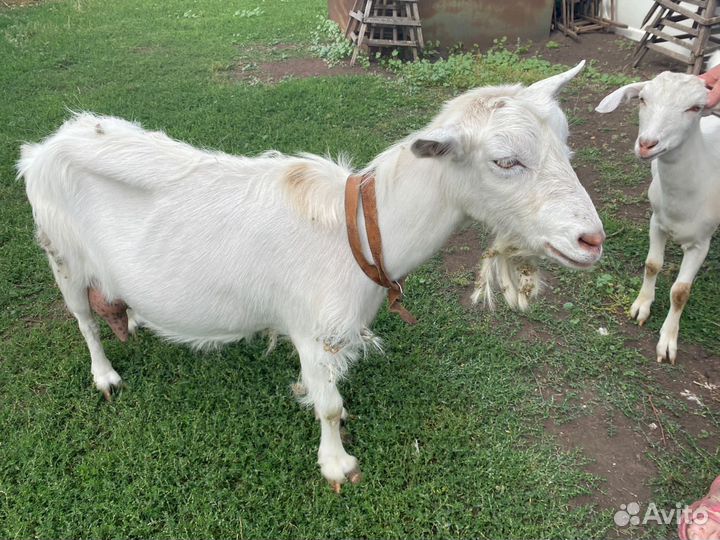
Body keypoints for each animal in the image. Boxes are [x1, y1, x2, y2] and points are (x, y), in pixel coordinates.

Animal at [18, 61, 604, 489]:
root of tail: (42, 147)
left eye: (565, 144)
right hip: (60, 253)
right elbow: (329, 404)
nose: (591, 240)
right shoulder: (313, 329)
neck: (363, 232)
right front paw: (338, 465)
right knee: (83, 320)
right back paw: (105, 377)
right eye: (505, 161)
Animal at [596, 70, 720, 364]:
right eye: (642, 99)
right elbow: (652, 264)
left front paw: (667, 341)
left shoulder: (701, 242)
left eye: (695, 108)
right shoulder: (657, 222)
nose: (647, 144)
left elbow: (680, 291)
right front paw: (641, 306)